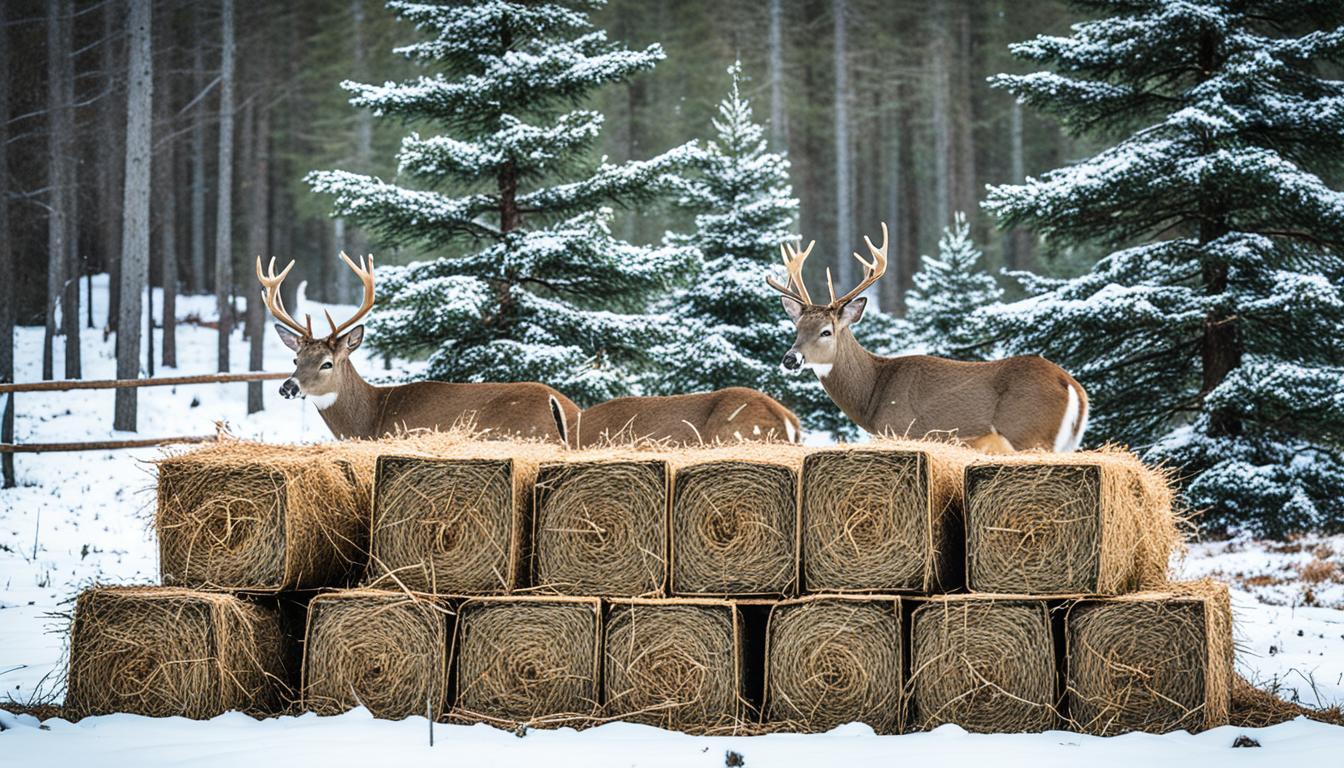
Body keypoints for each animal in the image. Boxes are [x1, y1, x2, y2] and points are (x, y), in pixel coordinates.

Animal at [763, 221, 1085, 451]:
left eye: (826, 331)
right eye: (797, 328)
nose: (790, 359)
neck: (873, 396)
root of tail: (1071, 386)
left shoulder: (901, 429)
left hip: (1029, 435)